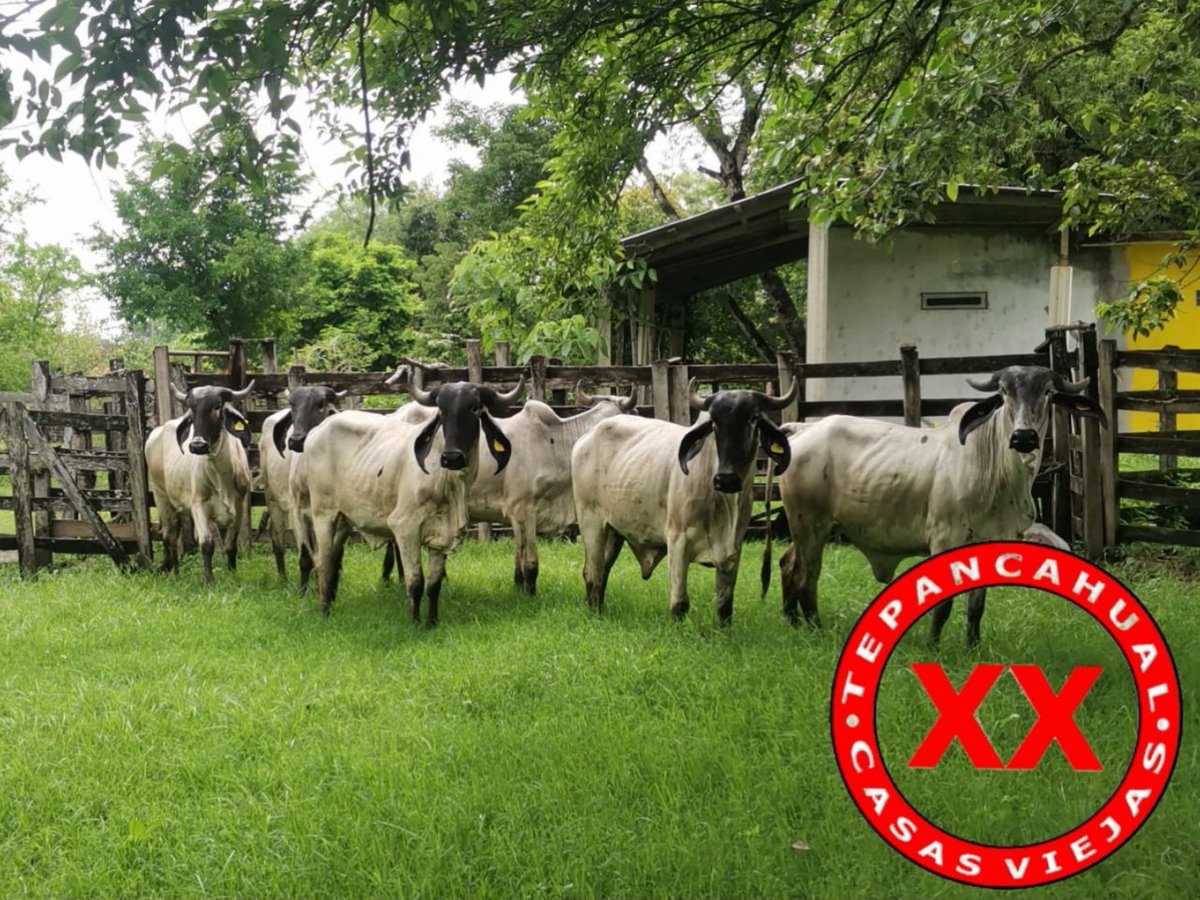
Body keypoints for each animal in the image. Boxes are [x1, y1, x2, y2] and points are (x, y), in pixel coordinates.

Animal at [145, 381, 256, 583]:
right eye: (192, 411)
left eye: (216, 406)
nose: (197, 445)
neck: (221, 476)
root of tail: (157, 431)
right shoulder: (199, 504)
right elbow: (206, 544)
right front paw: (209, 580)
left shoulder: (240, 505)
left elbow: (231, 544)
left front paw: (232, 573)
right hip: (161, 497)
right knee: (169, 535)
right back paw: (176, 573)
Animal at [259, 385, 347, 581]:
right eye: (292, 405)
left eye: (321, 404)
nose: (296, 440)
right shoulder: (298, 512)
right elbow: (306, 557)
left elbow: (329, 556)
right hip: (273, 499)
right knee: (276, 536)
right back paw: (282, 578)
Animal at [293, 376, 523, 625]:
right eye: (441, 410)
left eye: (474, 408)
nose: (452, 457)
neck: (444, 479)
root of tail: (317, 431)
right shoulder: (406, 528)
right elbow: (415, 582)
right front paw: (414, 623)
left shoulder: (442, 534)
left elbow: (434, 585)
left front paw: (431, 623)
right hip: (323, 515)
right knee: (323, 563)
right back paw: (324, 612)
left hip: (343, 520)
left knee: (334, 560)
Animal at [571, 379, 796, 623]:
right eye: (714, 424)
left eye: (753, 418)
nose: (726, 479)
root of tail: (587, 437)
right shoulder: (678, 541)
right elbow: (679, 604)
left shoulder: (733, 550)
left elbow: (724, 607)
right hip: (592, 524)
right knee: (593, 575)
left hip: (614, 531)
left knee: (602, 572)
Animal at [772, 365, 1106, 645]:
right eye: (1003, 392)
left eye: (1048, 391)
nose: (1024, 437)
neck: (995, 469)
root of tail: (802, 429)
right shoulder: (944, 539)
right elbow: (943, 605)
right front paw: (932, 646)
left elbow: (976, 606)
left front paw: (972, 647)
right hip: (809, 524)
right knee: (806, 575)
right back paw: (814, 628)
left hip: (810, 528)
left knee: (788, 565)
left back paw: (793, 622)